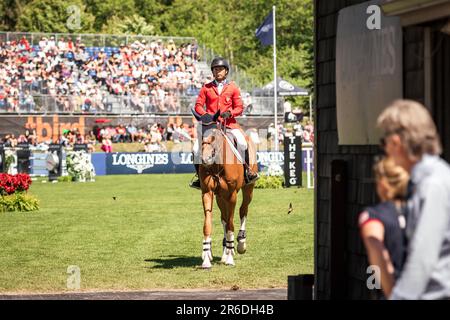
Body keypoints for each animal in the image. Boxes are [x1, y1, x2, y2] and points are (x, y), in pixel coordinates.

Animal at [193, 111, 256, 268]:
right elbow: (208, 223)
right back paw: (225, 250)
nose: (205, 159)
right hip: (220, 197)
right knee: (224, 218)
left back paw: (239, 244)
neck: (217, 165)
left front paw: (230, 258)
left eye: (214, 133)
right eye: (198, 132)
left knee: (243, 211)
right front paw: (206, 257)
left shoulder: (232, 195)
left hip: (248, 189)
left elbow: (231, 223)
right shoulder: (207, 193)